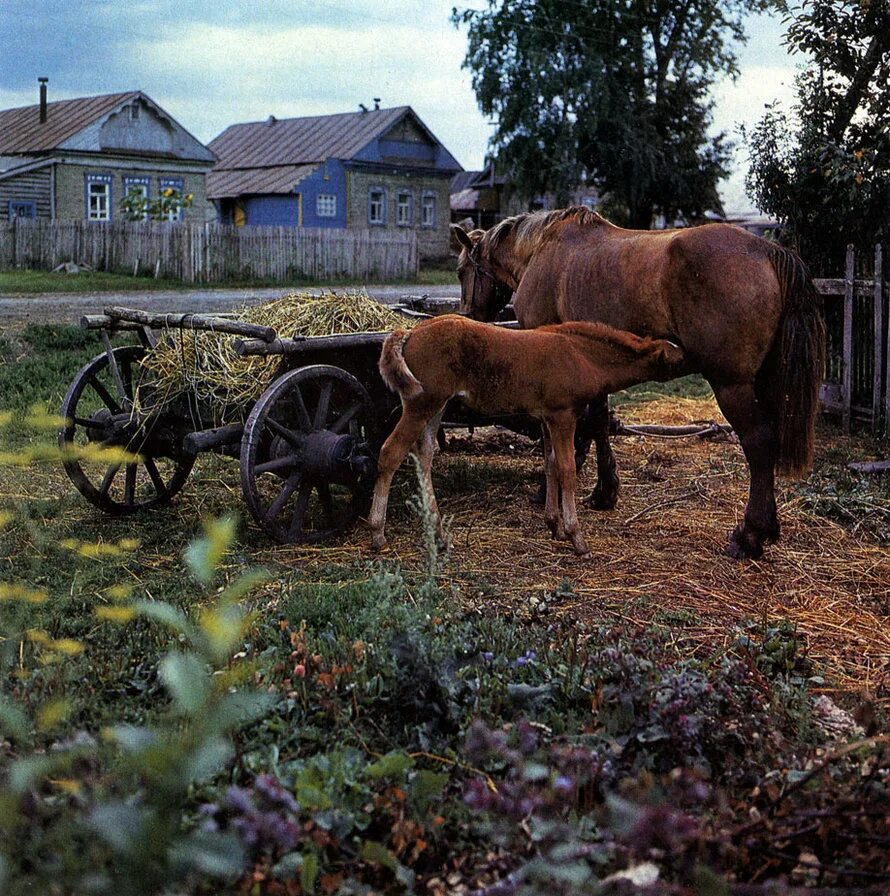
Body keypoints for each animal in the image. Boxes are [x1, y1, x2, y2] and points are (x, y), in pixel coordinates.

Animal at [368, 314, 688, 552]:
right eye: (677, 358)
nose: (695, 358)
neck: (579, 355)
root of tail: (410, 332)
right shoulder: (562, 415)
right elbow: (567, 469)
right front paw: (576, 536)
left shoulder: (546, 418)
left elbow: (550, 465)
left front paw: (554, 525)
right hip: (420, 404)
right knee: (390, 453)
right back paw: (377, 533)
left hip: (436, 407)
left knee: (424, 457)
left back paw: (438, 534)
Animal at [450, 208, 824, 560]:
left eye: (461, 271)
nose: (469, 316)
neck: (541, 248)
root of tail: (767, 251)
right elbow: (598, 423)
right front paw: (604, 491)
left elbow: (559, 444)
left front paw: (552, 492)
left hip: (731, 385)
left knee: (759, 444)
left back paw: (749, 535)